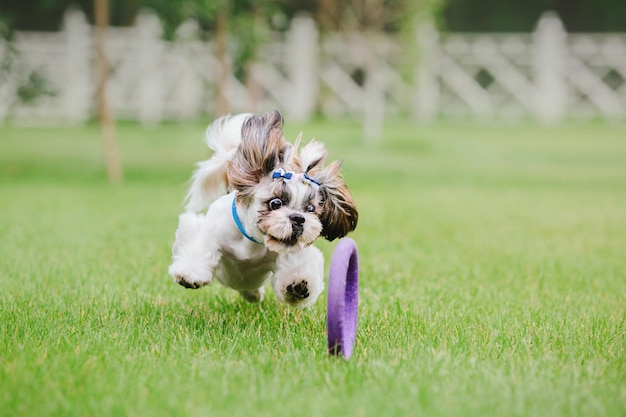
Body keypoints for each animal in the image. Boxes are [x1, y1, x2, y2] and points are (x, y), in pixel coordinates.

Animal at [168, 109, 358, 306]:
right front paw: (190, 275)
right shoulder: (207, 230)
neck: (253, 241)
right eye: (276, 203)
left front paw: (298, 285)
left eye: (311, 209)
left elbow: (298, 266)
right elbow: (200, 244)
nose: (298, 218)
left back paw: (254, 294)